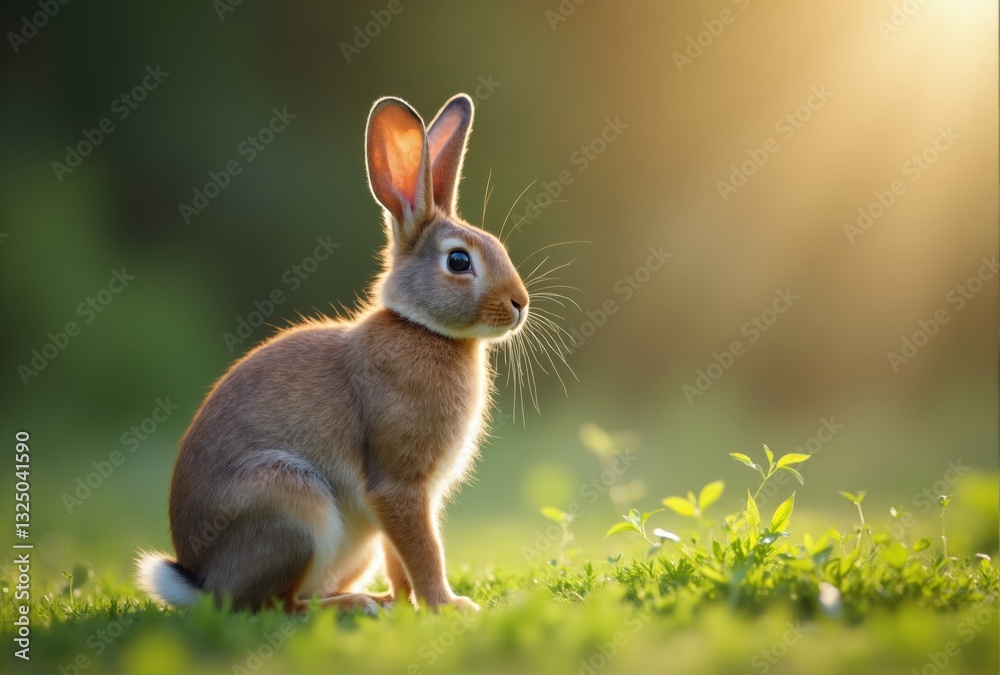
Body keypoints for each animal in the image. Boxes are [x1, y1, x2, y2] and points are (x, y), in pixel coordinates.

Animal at [137, 93, 529, 614]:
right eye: (459, 261)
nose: (520, 304)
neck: (423, 328)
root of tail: (199, 579)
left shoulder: (403, 501)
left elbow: (402, 554)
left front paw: (408, 602)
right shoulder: (399, 484)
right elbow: (423, 548)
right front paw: (448, 605)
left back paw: (373, 599)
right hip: (293, 506)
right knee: (273, 604)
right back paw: (352, 605)